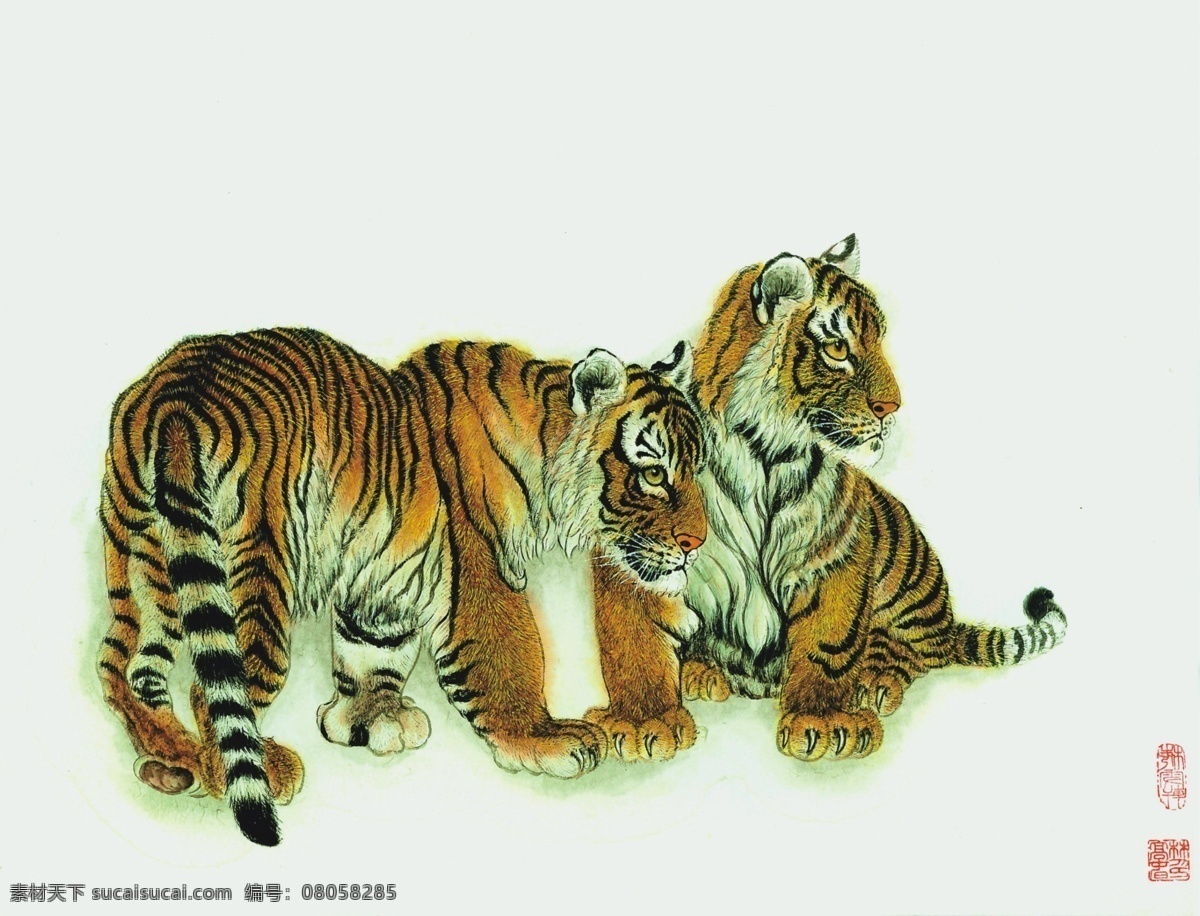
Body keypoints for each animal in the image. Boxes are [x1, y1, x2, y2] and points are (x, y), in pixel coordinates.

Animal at [98, 328, 707, 846]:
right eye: (654, 473)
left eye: (697, 469)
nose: (698, 542)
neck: (545, 443)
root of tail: (179, 394)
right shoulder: (475, 569)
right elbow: (507, 655)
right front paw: (543, 739)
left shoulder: (378, 583)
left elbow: (371, 655)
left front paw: (373, 719)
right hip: (257, 567)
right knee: (213, 688)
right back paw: (255, 770)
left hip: (145, 567)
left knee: (126, 669)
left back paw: (174, 760)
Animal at [674, 235, 1067, 760]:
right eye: (838, 348)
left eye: (879, 339)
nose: (892, 408)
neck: (763, 460)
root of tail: (950, 621)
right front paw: (701, 669)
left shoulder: (836, 558)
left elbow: (829, 643)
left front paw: (821, 723)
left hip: (905, 568)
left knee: (914, 651)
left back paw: (874, 682)